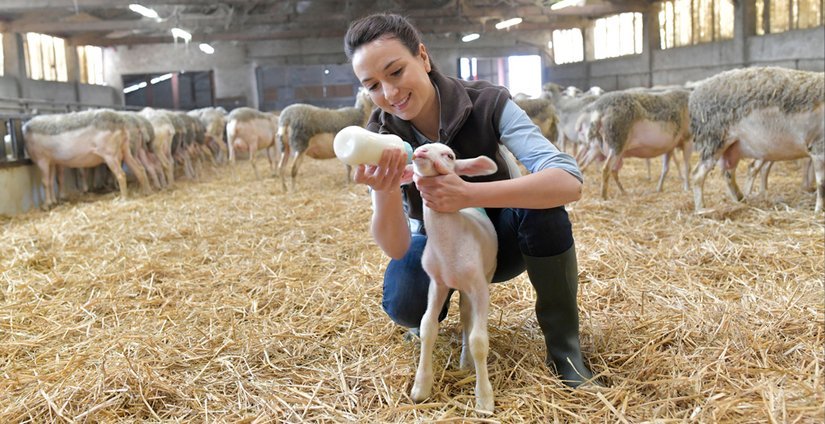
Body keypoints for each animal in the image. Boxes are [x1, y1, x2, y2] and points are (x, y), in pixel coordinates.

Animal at [398, 142, 496, 414]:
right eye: (421, 147)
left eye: (449, 155)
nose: (420, 152)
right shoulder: (437, 284)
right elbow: (427, 327)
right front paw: (421, 387)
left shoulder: (480, 288)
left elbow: (479, 341)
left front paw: (484, 399)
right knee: (465, 317)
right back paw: (465, 361)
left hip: (481, 278)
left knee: (469, 320)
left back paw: (467, 361)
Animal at [688, 68, 824, 214]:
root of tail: (695, 95)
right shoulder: (818, 148)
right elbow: (822, 184)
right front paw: (818, 211)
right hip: (713, 140)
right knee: (698, 174)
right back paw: (701, 209)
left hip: (733, 147)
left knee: (729, 173)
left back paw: (741, 199)